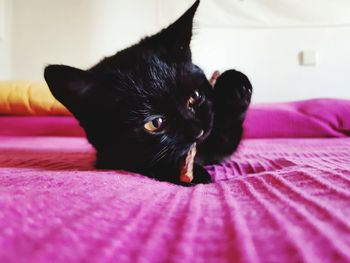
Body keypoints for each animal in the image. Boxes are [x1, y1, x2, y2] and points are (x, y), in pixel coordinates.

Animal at [43, 0, 252, 186]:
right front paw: (190, 174)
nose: (198, 132)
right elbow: (141, 161)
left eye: (195, 97)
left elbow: (224, 137)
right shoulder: (107, 158)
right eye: (155, 123)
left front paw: (234, 85)